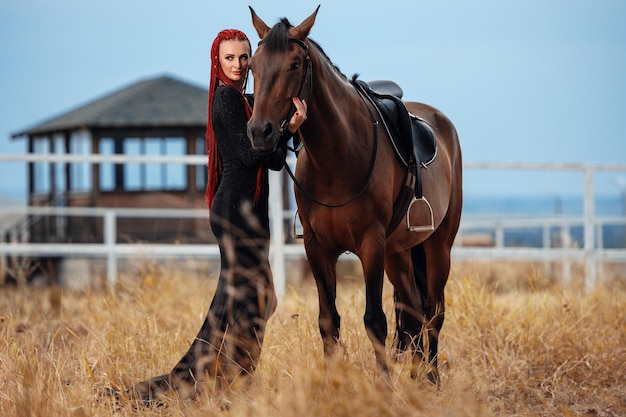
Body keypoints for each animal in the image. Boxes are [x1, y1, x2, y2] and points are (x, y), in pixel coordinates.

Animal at [246, 5, 460, 386]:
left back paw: (432, 379)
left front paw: (384, 388)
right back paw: (416, 376)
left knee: (434, 311)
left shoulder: (370, 244)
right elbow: (328, 320)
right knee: (413, 310)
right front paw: (333, 384)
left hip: (438, 246)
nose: (260, 132)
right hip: (399, 253)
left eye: (295, 64)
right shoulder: (317, 247)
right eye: (253, 65)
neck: (337, 155)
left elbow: (375, 320)